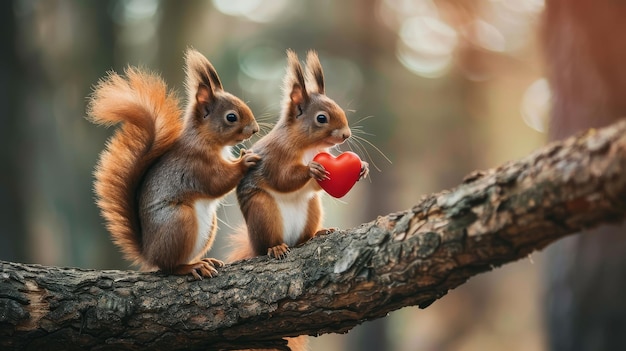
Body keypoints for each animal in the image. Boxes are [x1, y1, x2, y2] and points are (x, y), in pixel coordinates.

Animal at [88, 48, 258, 280]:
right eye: (231, 117)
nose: (255, 129)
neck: (205, 139)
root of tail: (148, 253)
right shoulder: (195, 165)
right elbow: (217, 183)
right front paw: (244, 161)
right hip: (179, 221)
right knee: (169, 266)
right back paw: (191, 267)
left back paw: (205, 261)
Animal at [228, 48, 366, 264]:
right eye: (321, 118)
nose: (346, 134)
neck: (308, 146)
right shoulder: (275, 155)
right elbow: (282, 179)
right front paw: (311, 168)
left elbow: (317, 186)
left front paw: (363, 168)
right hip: (263, 212)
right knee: (267, 244)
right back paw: (276, 247)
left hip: (312, 209)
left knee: (303, 238)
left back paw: (318, 233)